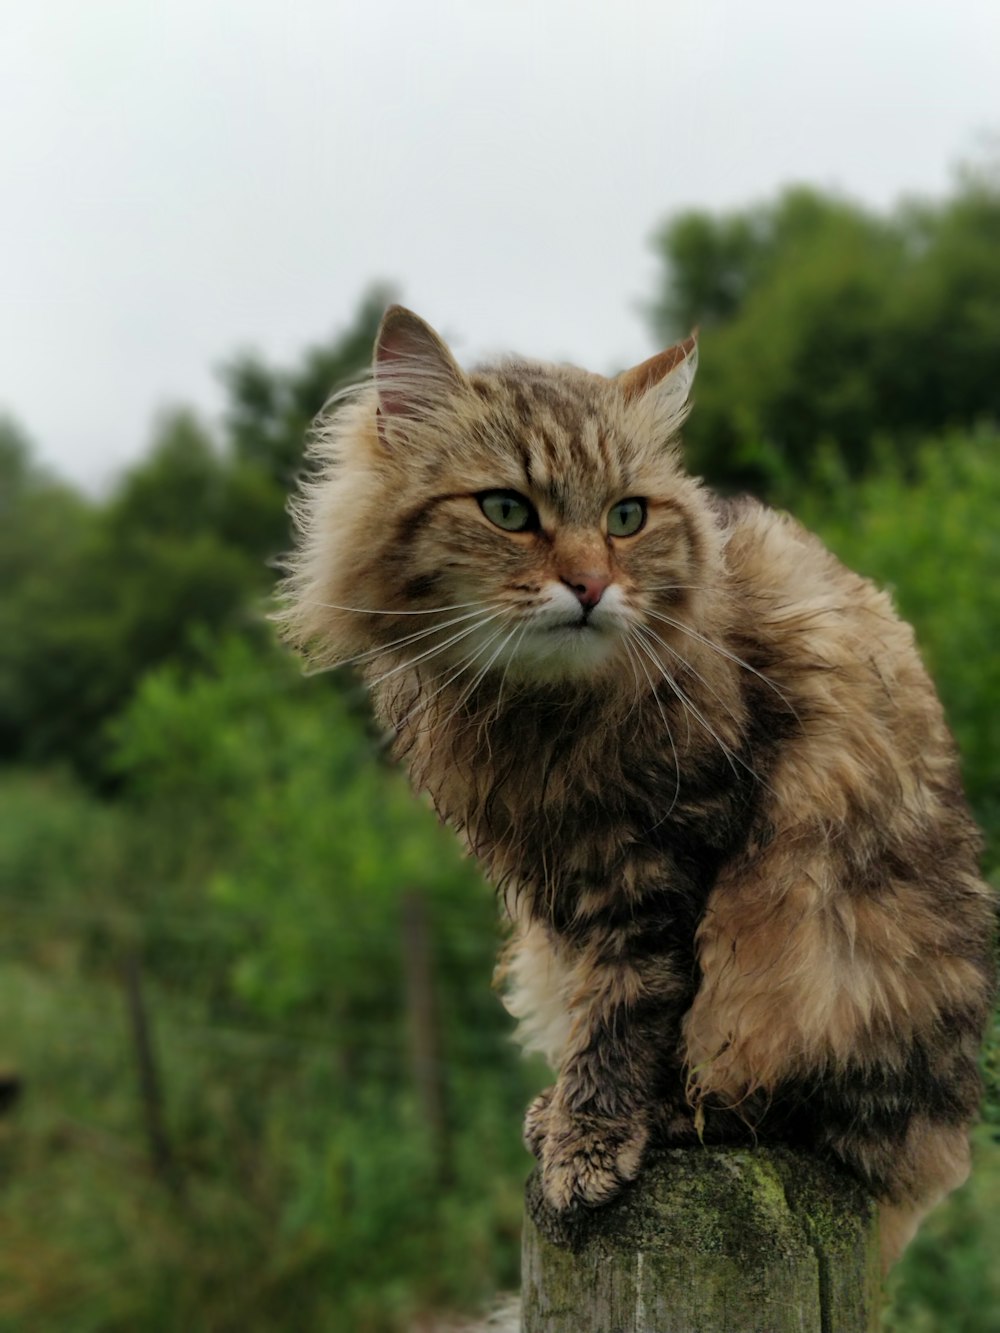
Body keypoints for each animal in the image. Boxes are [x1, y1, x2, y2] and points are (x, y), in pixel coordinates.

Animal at [278, 305, 997, 1269]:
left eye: (626, 516)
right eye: (508, 510)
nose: (589, 585)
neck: (540, 713)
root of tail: (936, 1144)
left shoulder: (664, 863)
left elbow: (630, 1011)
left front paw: (589, 1142)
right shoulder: (556, 883)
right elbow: (591, 1002)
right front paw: (567, 1118)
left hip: (816, 959)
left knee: (794, 1111)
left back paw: (669, 1118)